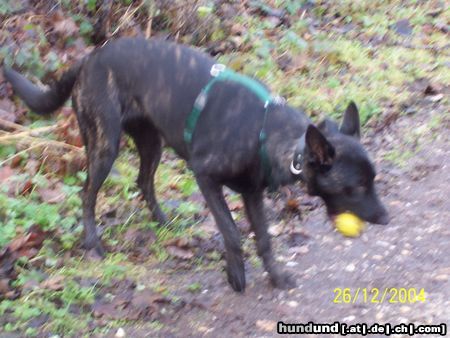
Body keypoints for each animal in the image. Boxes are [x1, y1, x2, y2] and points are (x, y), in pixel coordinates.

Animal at [3, 36, 388, 290]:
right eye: (356, 187)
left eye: (374, 180)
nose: (386, 218)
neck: (265, 132)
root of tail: (89, 58)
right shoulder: (205, 178)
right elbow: (232, 233)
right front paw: (236, 276)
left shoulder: (252, 194)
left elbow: (264, 239)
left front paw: (276, 277)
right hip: (104, 146)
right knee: (87, 194)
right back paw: (93, 243)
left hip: (152, 142)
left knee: (143, 181)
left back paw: (164, 223)